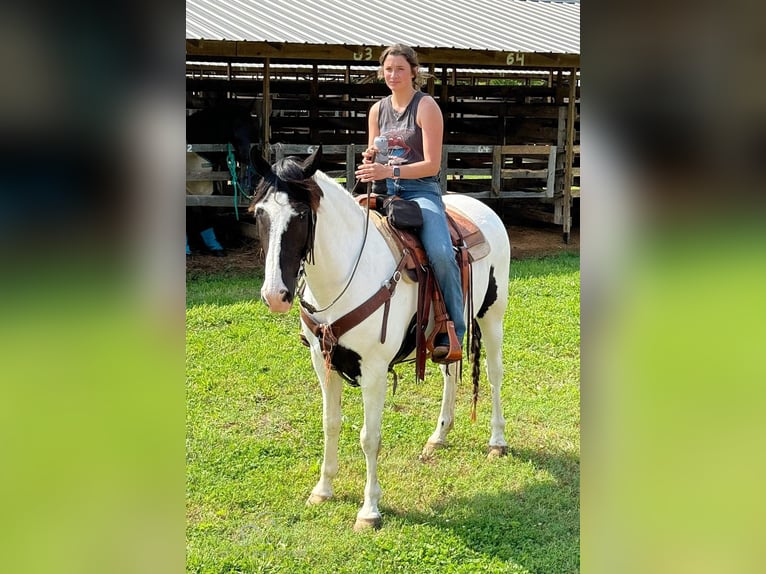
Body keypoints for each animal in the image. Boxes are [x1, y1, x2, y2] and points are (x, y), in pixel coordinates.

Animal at [252, 147, 512, 532]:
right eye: (260, 213)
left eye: (300, 215)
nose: (275, 295)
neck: (346, 275)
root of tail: (483, 209)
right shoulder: (322, 361)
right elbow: (330, 424)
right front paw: (323, 489)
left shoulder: (373, 371)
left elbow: (369, 437)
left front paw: (369, 510)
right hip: (444, 334)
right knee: (450, 373)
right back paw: (439, 437)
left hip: (492, 316)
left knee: (494, 375)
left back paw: (497, 441)